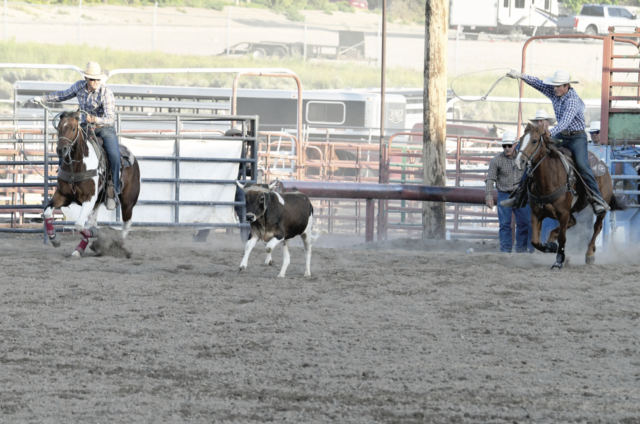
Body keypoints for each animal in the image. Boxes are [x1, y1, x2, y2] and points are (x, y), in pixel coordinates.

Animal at [43, 110, 141, 257]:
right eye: (59, 128)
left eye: (73, 128)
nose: (61, 150)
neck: (76, 166)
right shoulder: (62, 195)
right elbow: (47, 213)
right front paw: (55, 239)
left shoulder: (89, 198)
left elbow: (79, 224)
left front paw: (94, 234)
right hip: (98, 201)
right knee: (92, 221)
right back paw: (79, 249)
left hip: (128, 202)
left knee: (127, 222)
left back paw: (120, 247)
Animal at [515, 124, 627, 269]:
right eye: (521, 140)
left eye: (534, 141)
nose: (519, 162)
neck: (548, 178)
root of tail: (604, 166)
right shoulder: (536, 213)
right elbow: (535, 241)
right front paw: (551, 246)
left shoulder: (563, 213)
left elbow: (562, 238)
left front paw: (558, 261)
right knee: (572, 222)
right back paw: (552, 240)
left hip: (601, 206)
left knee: (597, 227)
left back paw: (590, 253)